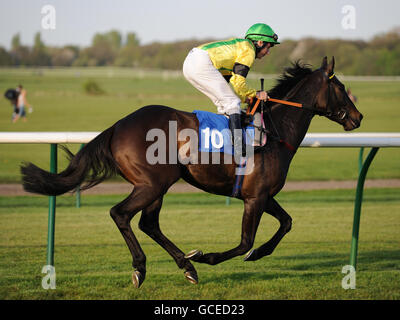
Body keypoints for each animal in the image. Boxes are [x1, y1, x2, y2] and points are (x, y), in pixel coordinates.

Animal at [21, 57, 362, 288]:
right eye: (340, 87)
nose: (358, 117)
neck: (275, 131)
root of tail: (117, 126)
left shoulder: (264, 194)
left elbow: (287, 223)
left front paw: (255, 254)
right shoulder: (255, 198)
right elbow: (244, 242)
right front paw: (208, 256)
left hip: (157, 186)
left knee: (148, 223)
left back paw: (186, 266)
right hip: (152, 183)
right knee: (121, 214)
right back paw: (144, 267)